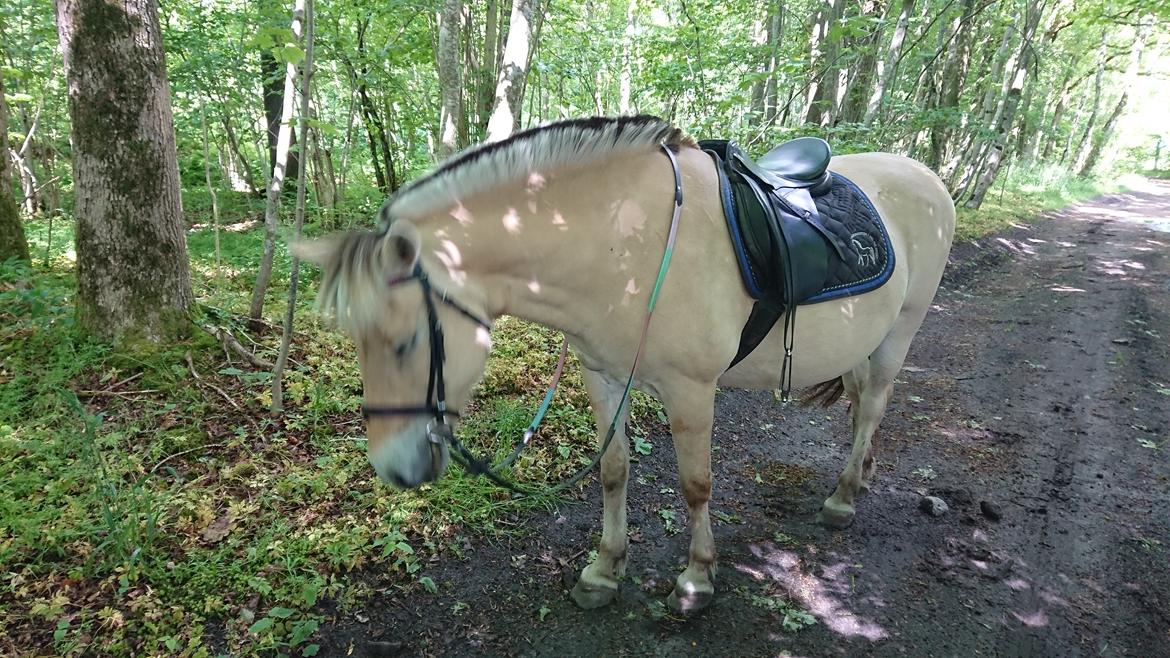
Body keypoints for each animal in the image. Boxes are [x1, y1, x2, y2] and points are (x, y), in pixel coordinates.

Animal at [290, 115, 950, 613]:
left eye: (404, 342)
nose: (393, 469)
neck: (622, 243)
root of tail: (925, 174)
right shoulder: (603, 377)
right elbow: (613, 470)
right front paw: (605, 569)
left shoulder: (691, 390)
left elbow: (695, 484)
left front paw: (697, 578)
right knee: (863, 406)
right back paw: (862, 473)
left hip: (902, 330)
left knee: (874, 403)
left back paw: (844, 496)